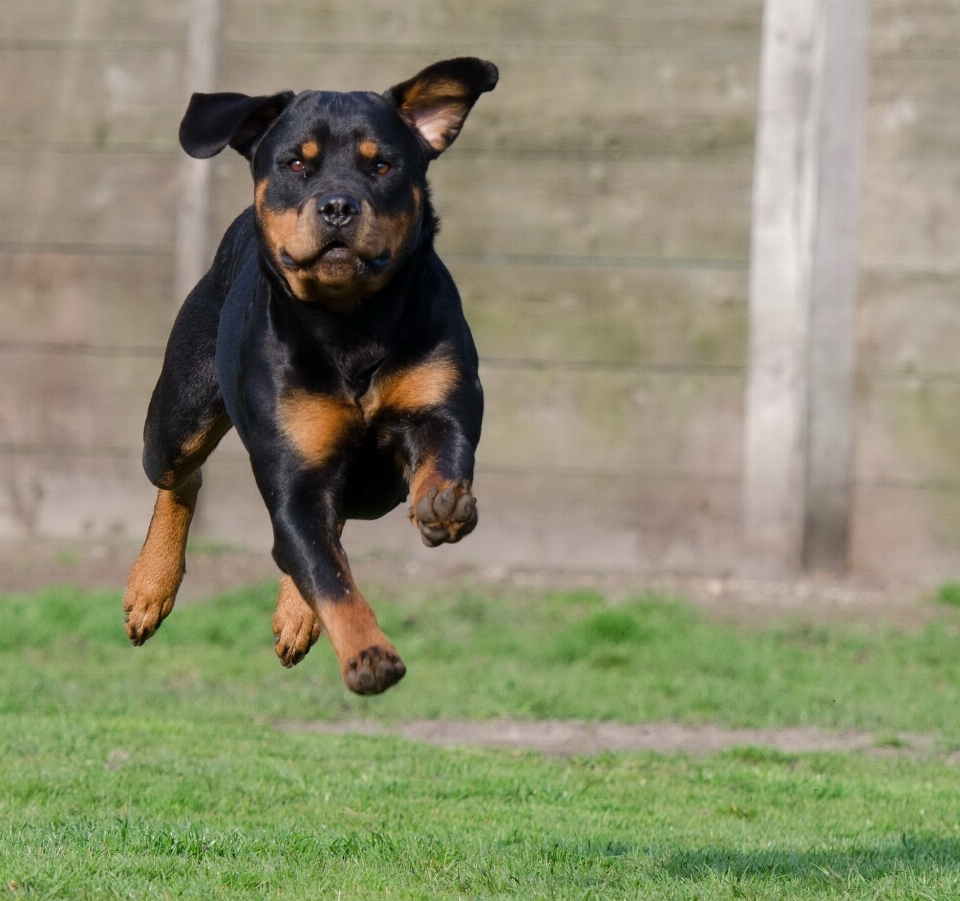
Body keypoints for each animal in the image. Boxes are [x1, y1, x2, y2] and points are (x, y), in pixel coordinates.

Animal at [121, 58, 498, 696]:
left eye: (382, 164)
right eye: (296, 163)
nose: (339, 205)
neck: (351, 323)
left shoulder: (440, 404)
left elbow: (441, 456)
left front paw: (442, 503)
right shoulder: (293, 468)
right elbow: (327, 574)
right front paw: (369, 655)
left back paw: (294, 615)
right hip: (175, 421)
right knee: (183, 478)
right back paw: (150, 589)